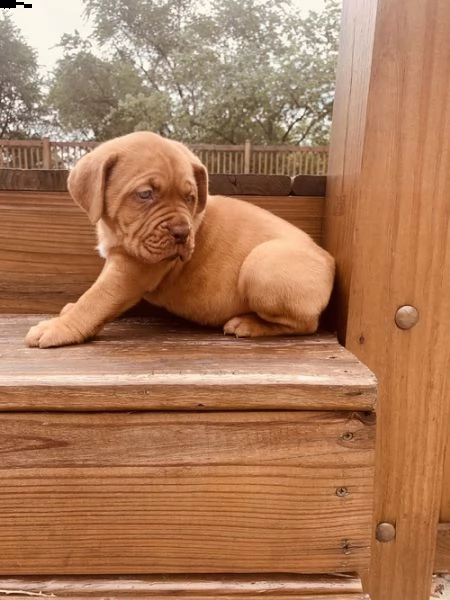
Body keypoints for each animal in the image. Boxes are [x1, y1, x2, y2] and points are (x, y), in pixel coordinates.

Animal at [24, 131, 334, 346]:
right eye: (145, 194)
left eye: (190, 197)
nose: (182, 234)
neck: (117, 232)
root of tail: (331, 261)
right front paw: (68, 311)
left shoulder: (130, 270)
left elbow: (96, 299)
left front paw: (58, 327)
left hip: (263, 263)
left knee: (307, 324)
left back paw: (249, 325)